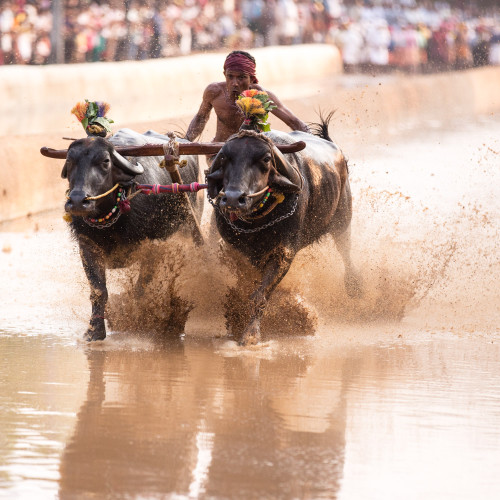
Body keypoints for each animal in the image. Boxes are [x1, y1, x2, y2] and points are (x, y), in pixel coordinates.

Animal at [57, 129, 201, 342]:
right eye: (70, 160)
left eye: (105, 161)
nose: (77, 201)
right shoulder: (87, 245)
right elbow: (98, 290)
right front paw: (94, 331)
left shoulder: (155, 246)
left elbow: (141, 288)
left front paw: (140, 323)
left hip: (190, 227)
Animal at [206, 115, 360, 346]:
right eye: (224, 156)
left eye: (266, 159)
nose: (233, 198)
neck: (256, 221)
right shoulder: (238, 252)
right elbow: (247, 286)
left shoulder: (284, 253)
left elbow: (260, 294)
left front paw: (250, 334)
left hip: (342, 218)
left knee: (346, 251)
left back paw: (355, 287)